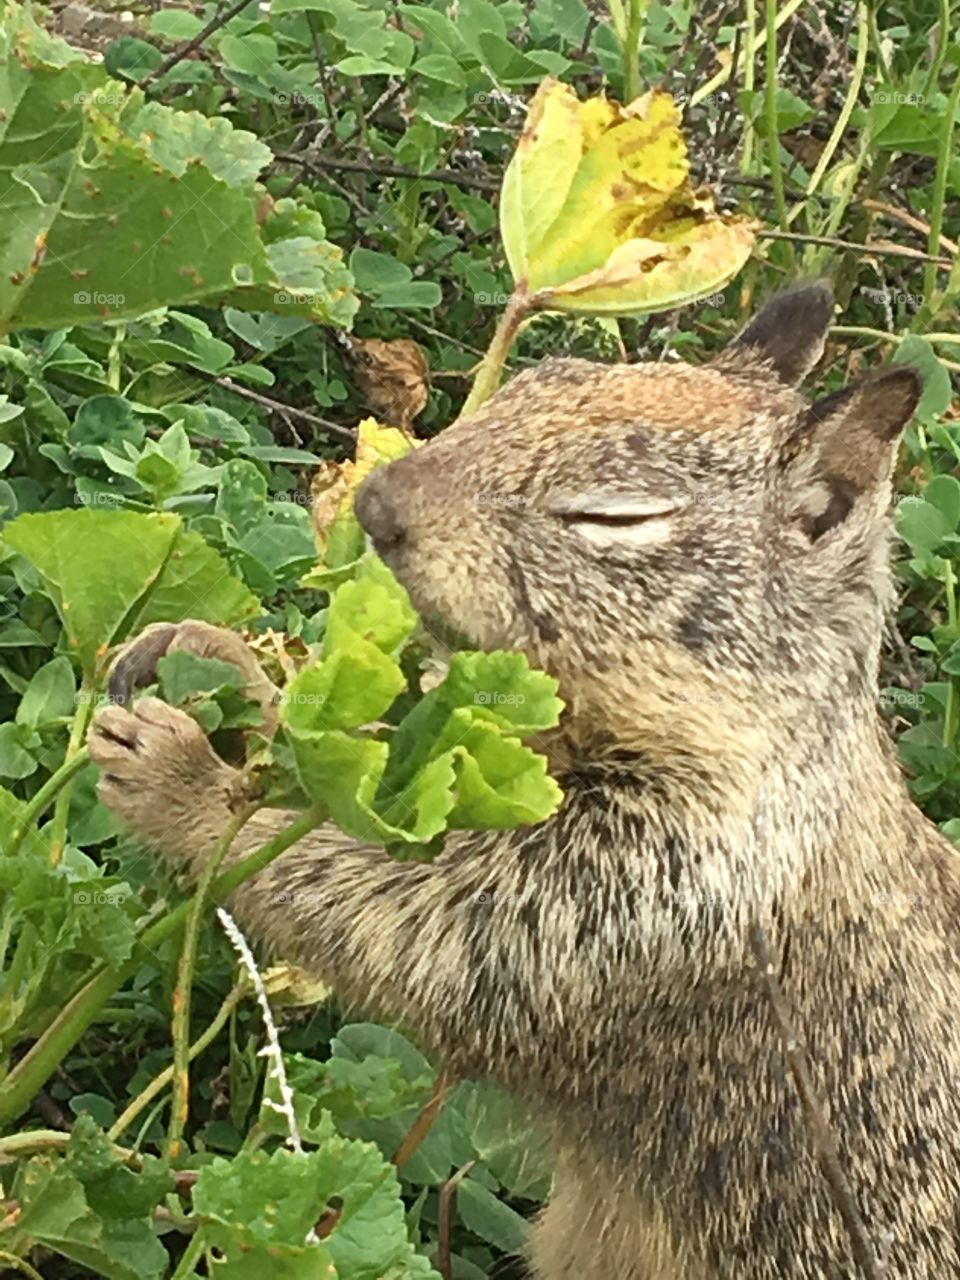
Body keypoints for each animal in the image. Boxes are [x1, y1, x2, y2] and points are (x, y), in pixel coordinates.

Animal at [88, 284, 960, 1278]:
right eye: (532, 381)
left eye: (614, 516)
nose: (378, 503)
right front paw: (227, 665)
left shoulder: (640, 894)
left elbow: (398, 919)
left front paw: (182, 779)